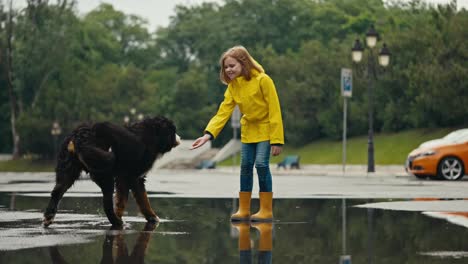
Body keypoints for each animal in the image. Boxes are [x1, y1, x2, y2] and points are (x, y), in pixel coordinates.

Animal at [43, 117, 179, 227]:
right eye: (173, 130)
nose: (179, 137)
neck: (151, 134)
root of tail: (79, 137)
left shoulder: (123, 178)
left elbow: (122, 201)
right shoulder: (132, 177)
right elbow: (142, 200)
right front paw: (153, 218)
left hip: (67, 171)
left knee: (56, 192)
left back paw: (48, 217)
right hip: (105, 176)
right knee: (106, 204)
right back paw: (118, 222)